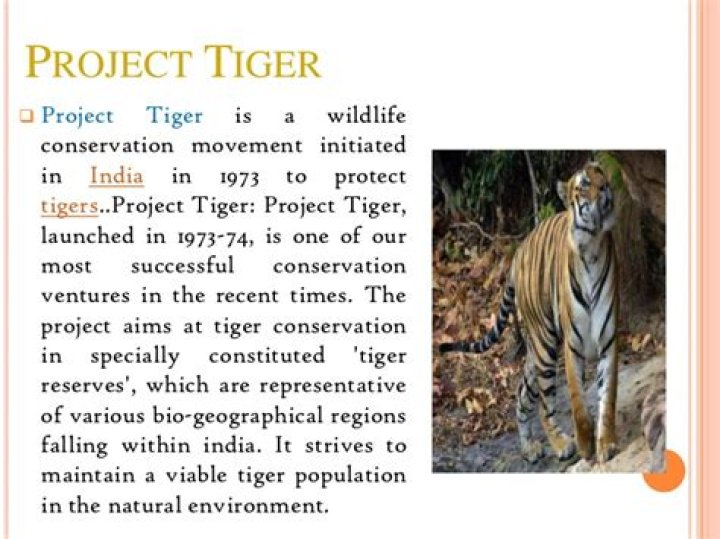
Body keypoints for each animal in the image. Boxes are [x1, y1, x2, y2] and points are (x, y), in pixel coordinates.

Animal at [440, 162, 618, 464]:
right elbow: (578, 403)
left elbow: (608, 398)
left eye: (603, 174)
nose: (606, 187)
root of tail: (518, 252)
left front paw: (606, 445)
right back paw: (560, 444)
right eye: (585, 183)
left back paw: (529, 448)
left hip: (537, 352)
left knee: (522, 392)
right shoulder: (572, 346)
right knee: (545, 405)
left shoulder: (608, 341)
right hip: (544, 345)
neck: (592, 246)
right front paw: (585, 446)